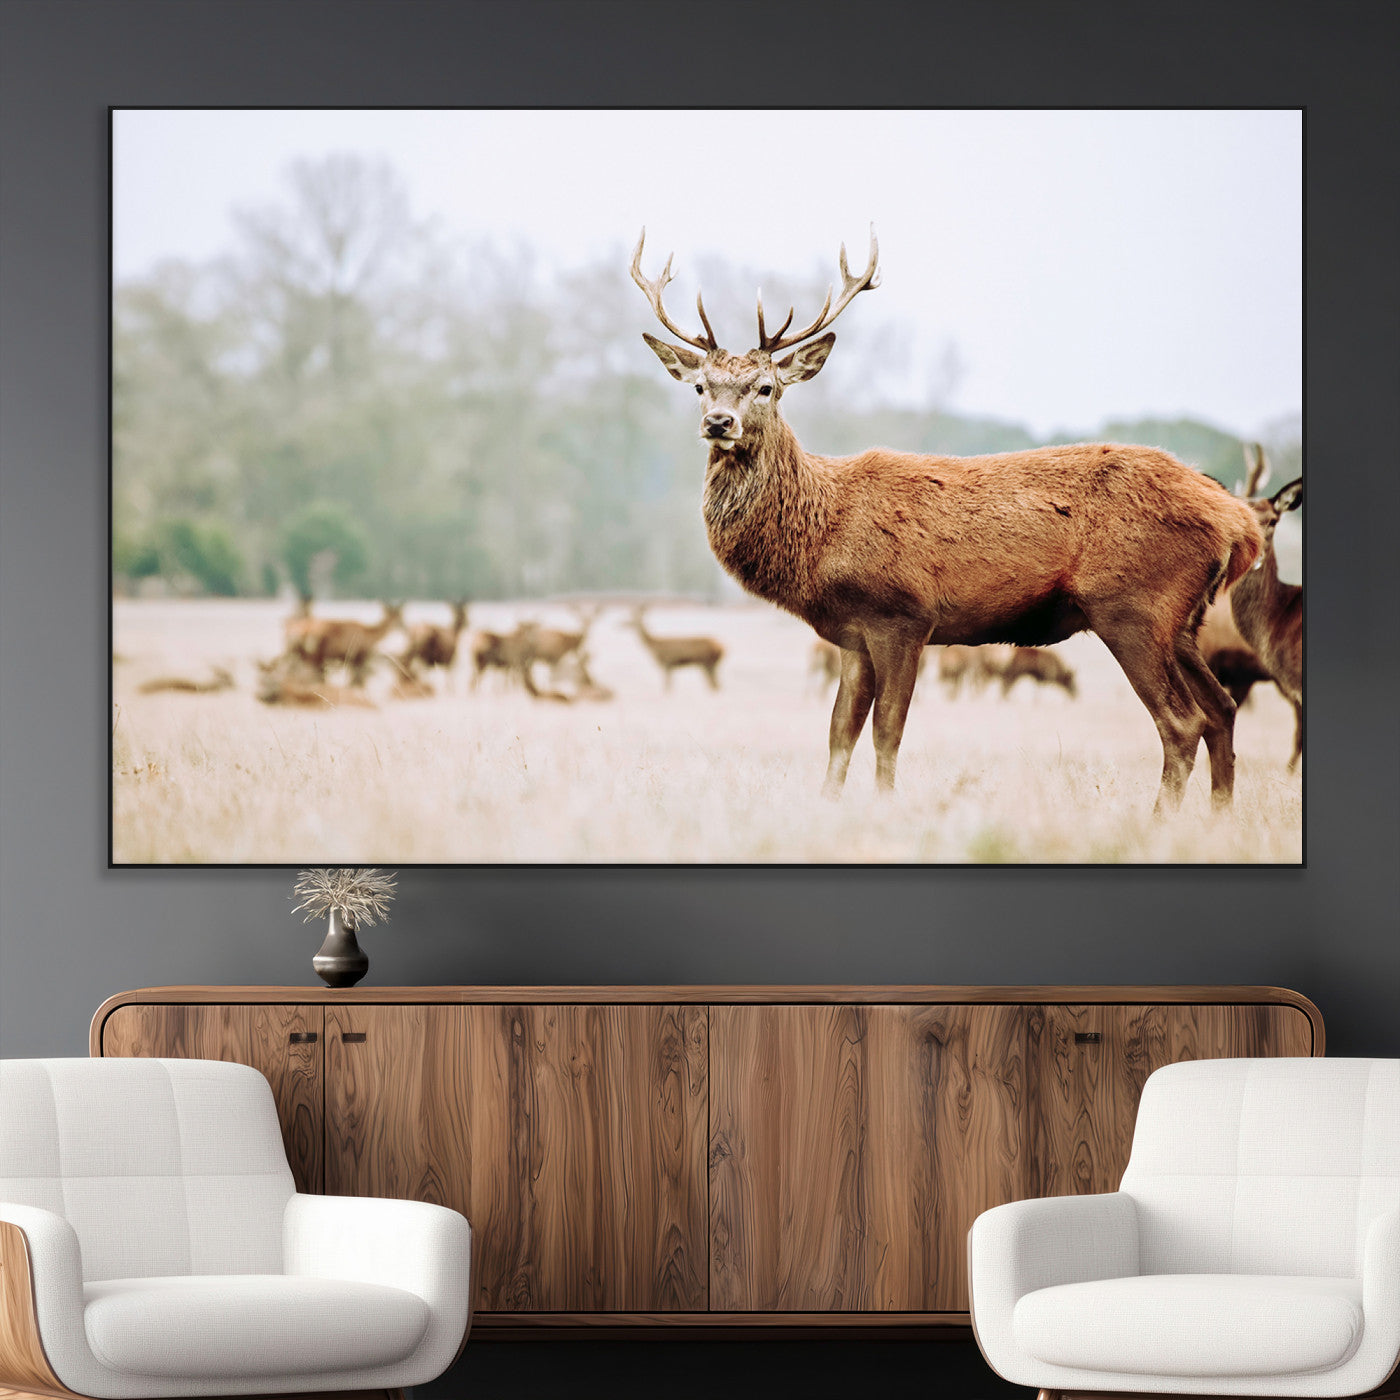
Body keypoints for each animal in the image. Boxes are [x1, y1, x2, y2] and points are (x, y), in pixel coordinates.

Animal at [633, 227, 1263, 812]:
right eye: (700, 385)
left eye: (766, 387)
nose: (719, 422)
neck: (822, 533)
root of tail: (1240, 522)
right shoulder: (852, 634)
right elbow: (839, 734)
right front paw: (828, 807)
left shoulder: (903, 615)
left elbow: (887, 732)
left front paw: (885, 807)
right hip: (1183, 622)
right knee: (1223, 709)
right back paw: (1219, 818)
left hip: (1132, 605)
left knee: (1182, 722)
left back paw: (1159, 822)